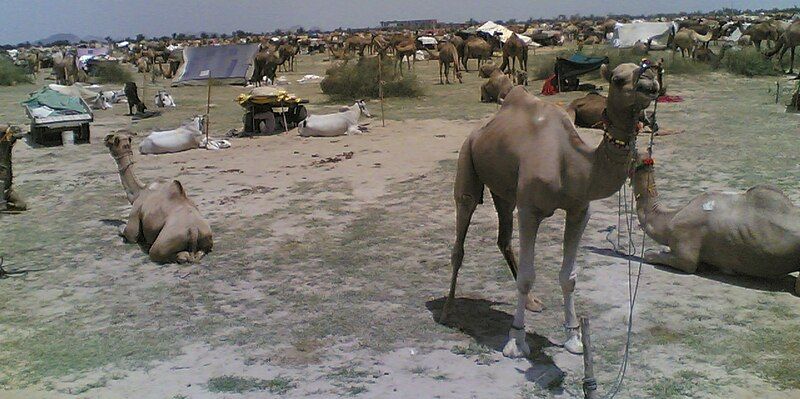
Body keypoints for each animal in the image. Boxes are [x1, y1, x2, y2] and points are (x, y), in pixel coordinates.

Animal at [105, 133, 212, 264]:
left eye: (112, 139)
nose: (105, 139)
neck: (140, 192)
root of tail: (193, 230)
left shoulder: (135, 213)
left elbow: (128, 233)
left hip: (164, 242)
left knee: (161, 253)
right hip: (206, 236)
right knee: (201, 252)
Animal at [444, 62, 664, 360]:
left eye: (649, 68)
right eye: (618, 79)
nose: (650, 83)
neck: (573, 164)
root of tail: (480, 129)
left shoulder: (579, 210)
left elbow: (568, 277)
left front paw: (574, 337)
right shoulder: (530, 210)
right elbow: (527, 276)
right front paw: (516, 340)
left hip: (504, 191)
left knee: (503, 238)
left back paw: (533, 302)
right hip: (467, 160)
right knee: (461, 229)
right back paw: (448, 310)